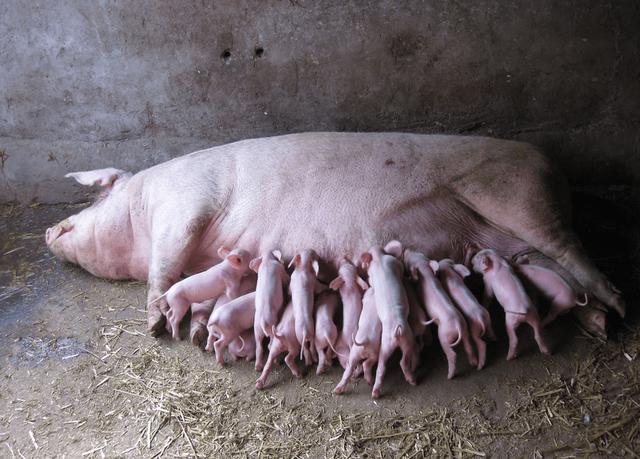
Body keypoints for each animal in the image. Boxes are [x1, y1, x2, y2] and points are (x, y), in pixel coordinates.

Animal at [46, 133, 625, 342]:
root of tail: (554, 169)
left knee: (573, 252)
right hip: (511, 246)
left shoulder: (183, 205)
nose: (48, 229)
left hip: (519, 198)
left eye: (92, 199)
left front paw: (152, 323)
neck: (142, 210)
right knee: (555, 273)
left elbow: (165, 265)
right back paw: (596, 322)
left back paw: (616, 310)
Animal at [360, 241, 417, 398]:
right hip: (407, 340)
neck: (379, 259)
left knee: (382, 366)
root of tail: (397, 330)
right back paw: (413, 382)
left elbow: (371, 280)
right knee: (402, 361)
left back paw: (374, 392)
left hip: (386, 344)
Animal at [403, 249, 477, 379]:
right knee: (468, 345)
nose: (407, 250)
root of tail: (458, 326)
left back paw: (449, 376)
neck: (426, 273)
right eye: (419, 254)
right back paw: (474, 362)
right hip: (465, 330)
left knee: (451, 353)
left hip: (443, 336)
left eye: (410, 259)